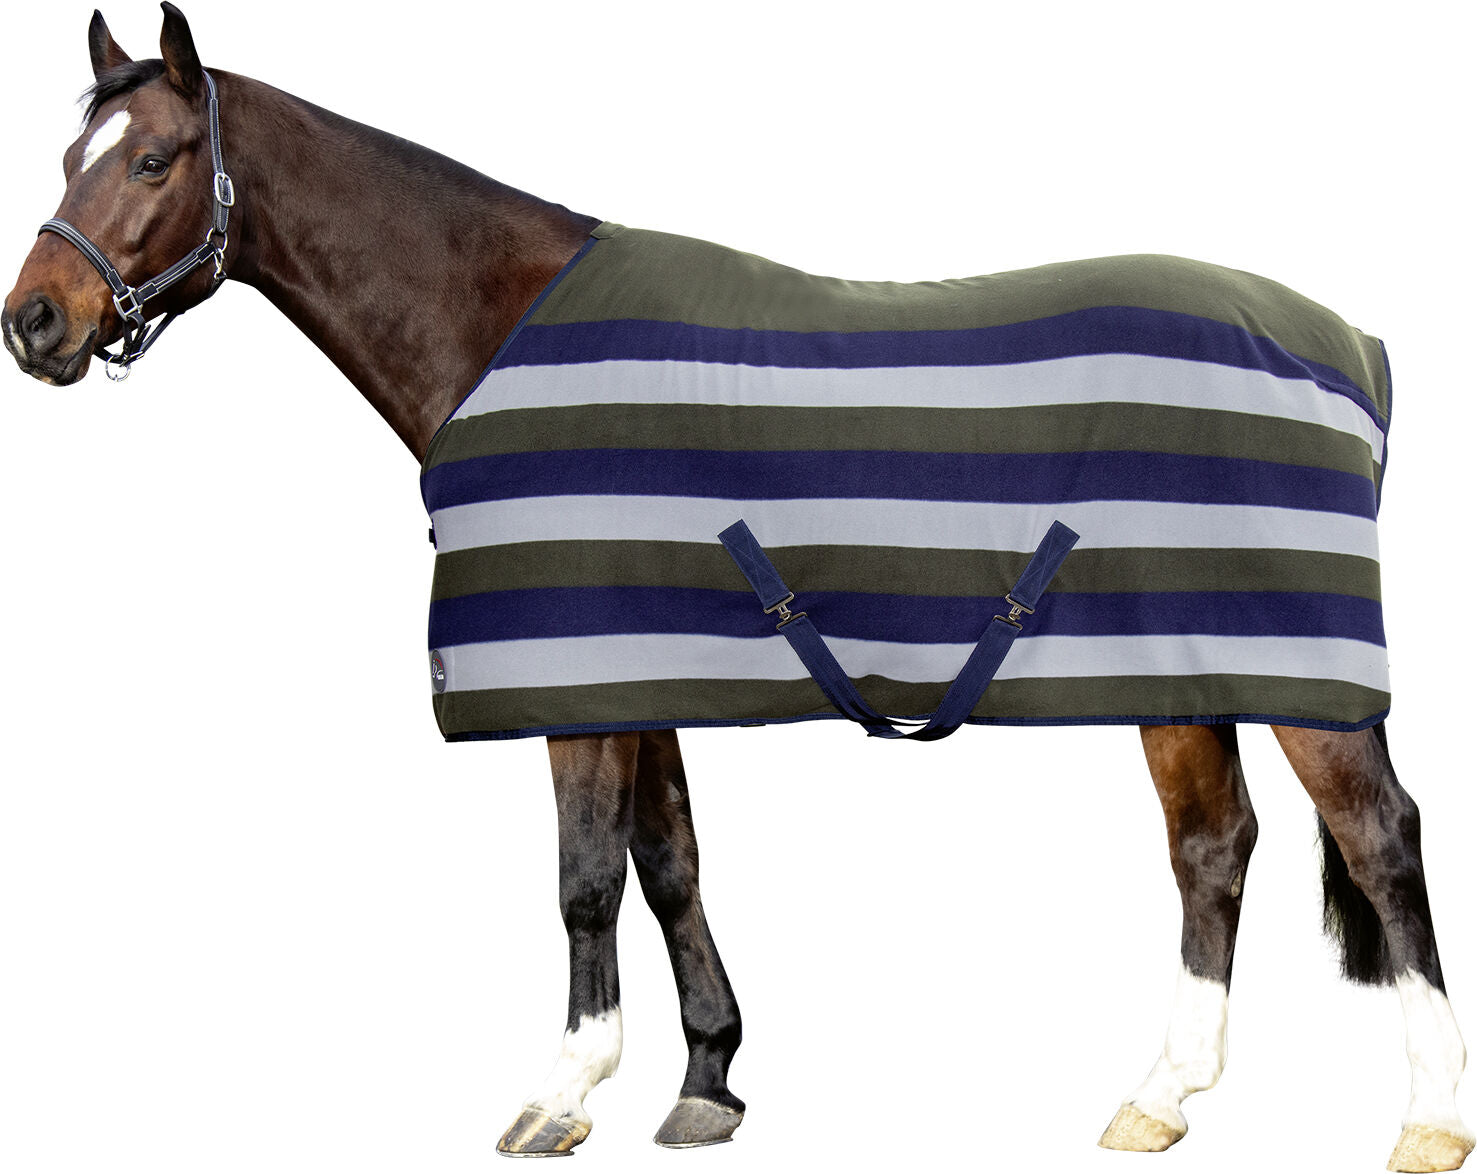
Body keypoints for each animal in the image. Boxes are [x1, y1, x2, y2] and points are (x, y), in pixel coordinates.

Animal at [2, 6, 1470, 1170]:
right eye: (70, 156)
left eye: (152, 157)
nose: (35, 323)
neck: (505, 329)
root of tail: (1356, 347)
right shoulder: (641, 665)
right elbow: (669, 863)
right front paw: (708, 1077)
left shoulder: (577, 672)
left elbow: (585, 876)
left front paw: (562, 1092)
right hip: (1179, 667)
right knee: (1212, 846)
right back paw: (1161, 1095)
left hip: (1307, 684)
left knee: (1380, 841)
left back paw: (1428, 1120)